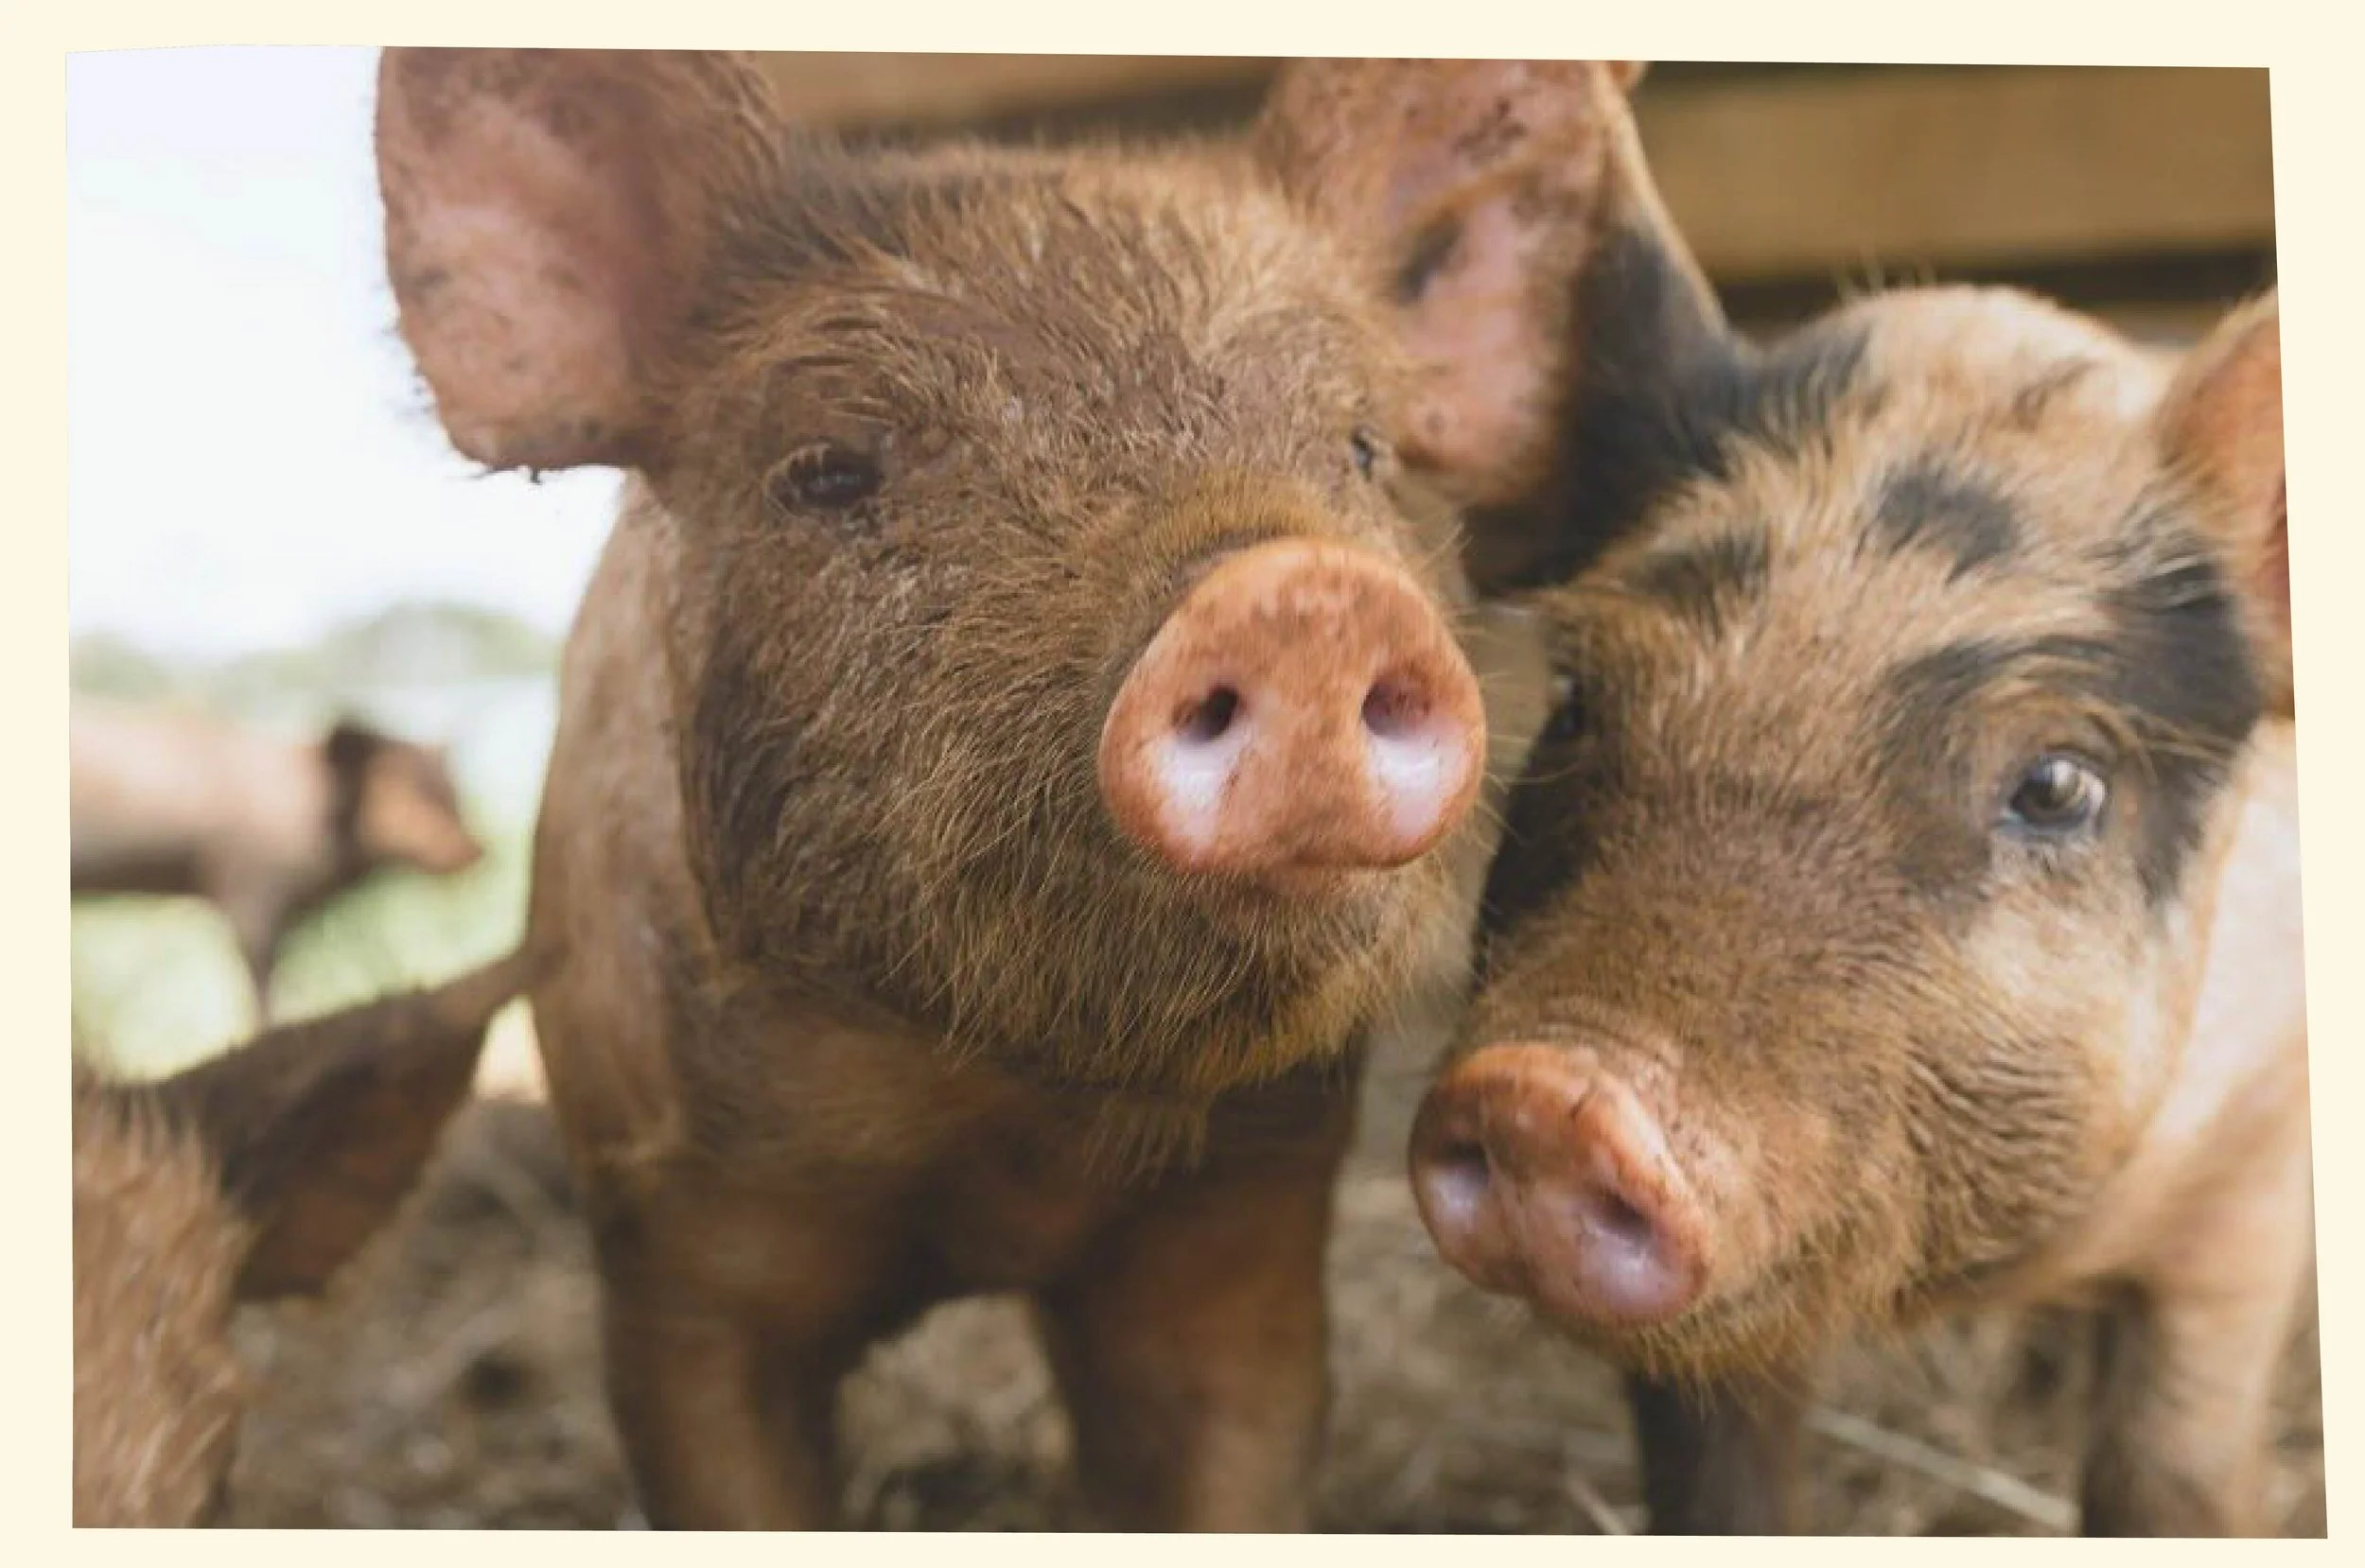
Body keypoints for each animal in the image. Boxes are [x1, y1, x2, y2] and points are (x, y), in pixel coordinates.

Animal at [371, 49, 1682, 1529]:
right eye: (828, 468)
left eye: (1362, 447)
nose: (1300, 596)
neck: (995, 1124)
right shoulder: (668, 1242)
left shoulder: (1250, 1204)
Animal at [1406, 265, 2306, 1536]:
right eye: (1577, 698)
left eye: (2056, 784)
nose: (1549, 1097)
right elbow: (1718, 1483)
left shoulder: (2258, 1170)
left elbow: (2169, 1471)